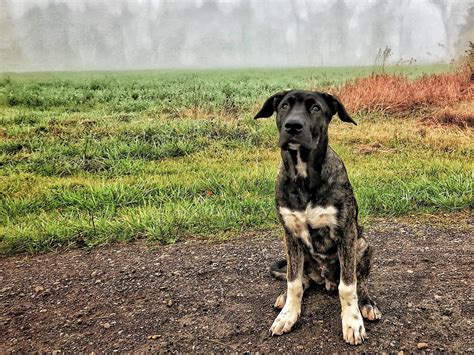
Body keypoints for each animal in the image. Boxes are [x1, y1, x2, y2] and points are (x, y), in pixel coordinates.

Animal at [256, 90, 382, 346]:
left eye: (315, 108)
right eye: (284, 106)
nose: (293, 126)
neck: (303, 176)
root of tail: (324, 280)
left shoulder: (346, 233)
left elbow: (348, 287)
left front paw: (352, 323)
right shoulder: (290, 235)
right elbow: (293, 282)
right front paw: (288, 315)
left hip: (363, 244)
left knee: (360, 281)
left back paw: (367, 304)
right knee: (301, 280)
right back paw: (284, 297)